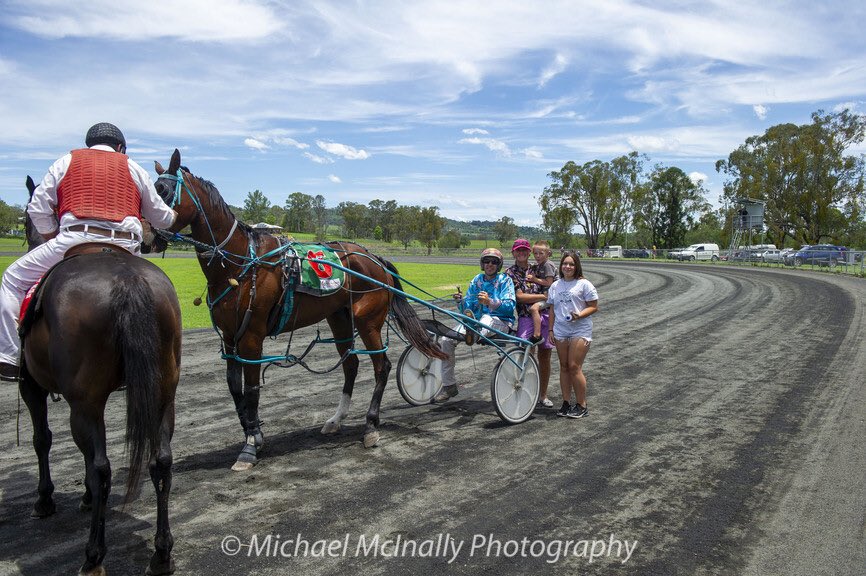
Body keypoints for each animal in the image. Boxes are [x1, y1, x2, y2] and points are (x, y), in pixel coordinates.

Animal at [16, 176, 181, 576]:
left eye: (26, 217)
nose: (31, 237)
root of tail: (127, 279)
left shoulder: (33, 385)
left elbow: (43, 439)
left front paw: (45, 499)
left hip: (85, 400)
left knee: (101, 468)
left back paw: (93, 555)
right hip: (162, 390)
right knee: (161, 461)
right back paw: (161, 553)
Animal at [151, 150, 442, 472]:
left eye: (164, 191)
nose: (150, 236)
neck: (241, 264)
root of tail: (374, 258)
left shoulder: (251, 337)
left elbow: (251, 390)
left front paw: (249, 448)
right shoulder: (229, 337)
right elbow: (235, 388)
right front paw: (255, 434)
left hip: (368, 321)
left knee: (382, 367)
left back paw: (370, 426)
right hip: (339, 318)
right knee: (351, 366)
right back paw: (336, 420)